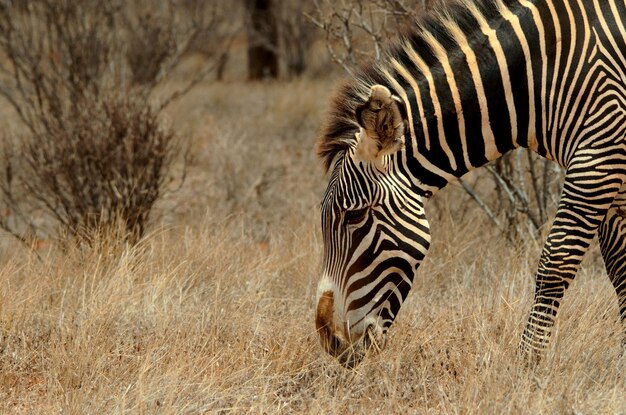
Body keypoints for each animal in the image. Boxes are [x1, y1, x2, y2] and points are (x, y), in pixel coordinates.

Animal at [314, 0, 624, 368]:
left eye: (355, 216)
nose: (330, 341)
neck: (543, 73)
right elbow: (620, 269)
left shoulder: (599, 159)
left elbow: (556, 262)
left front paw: (528, 362)